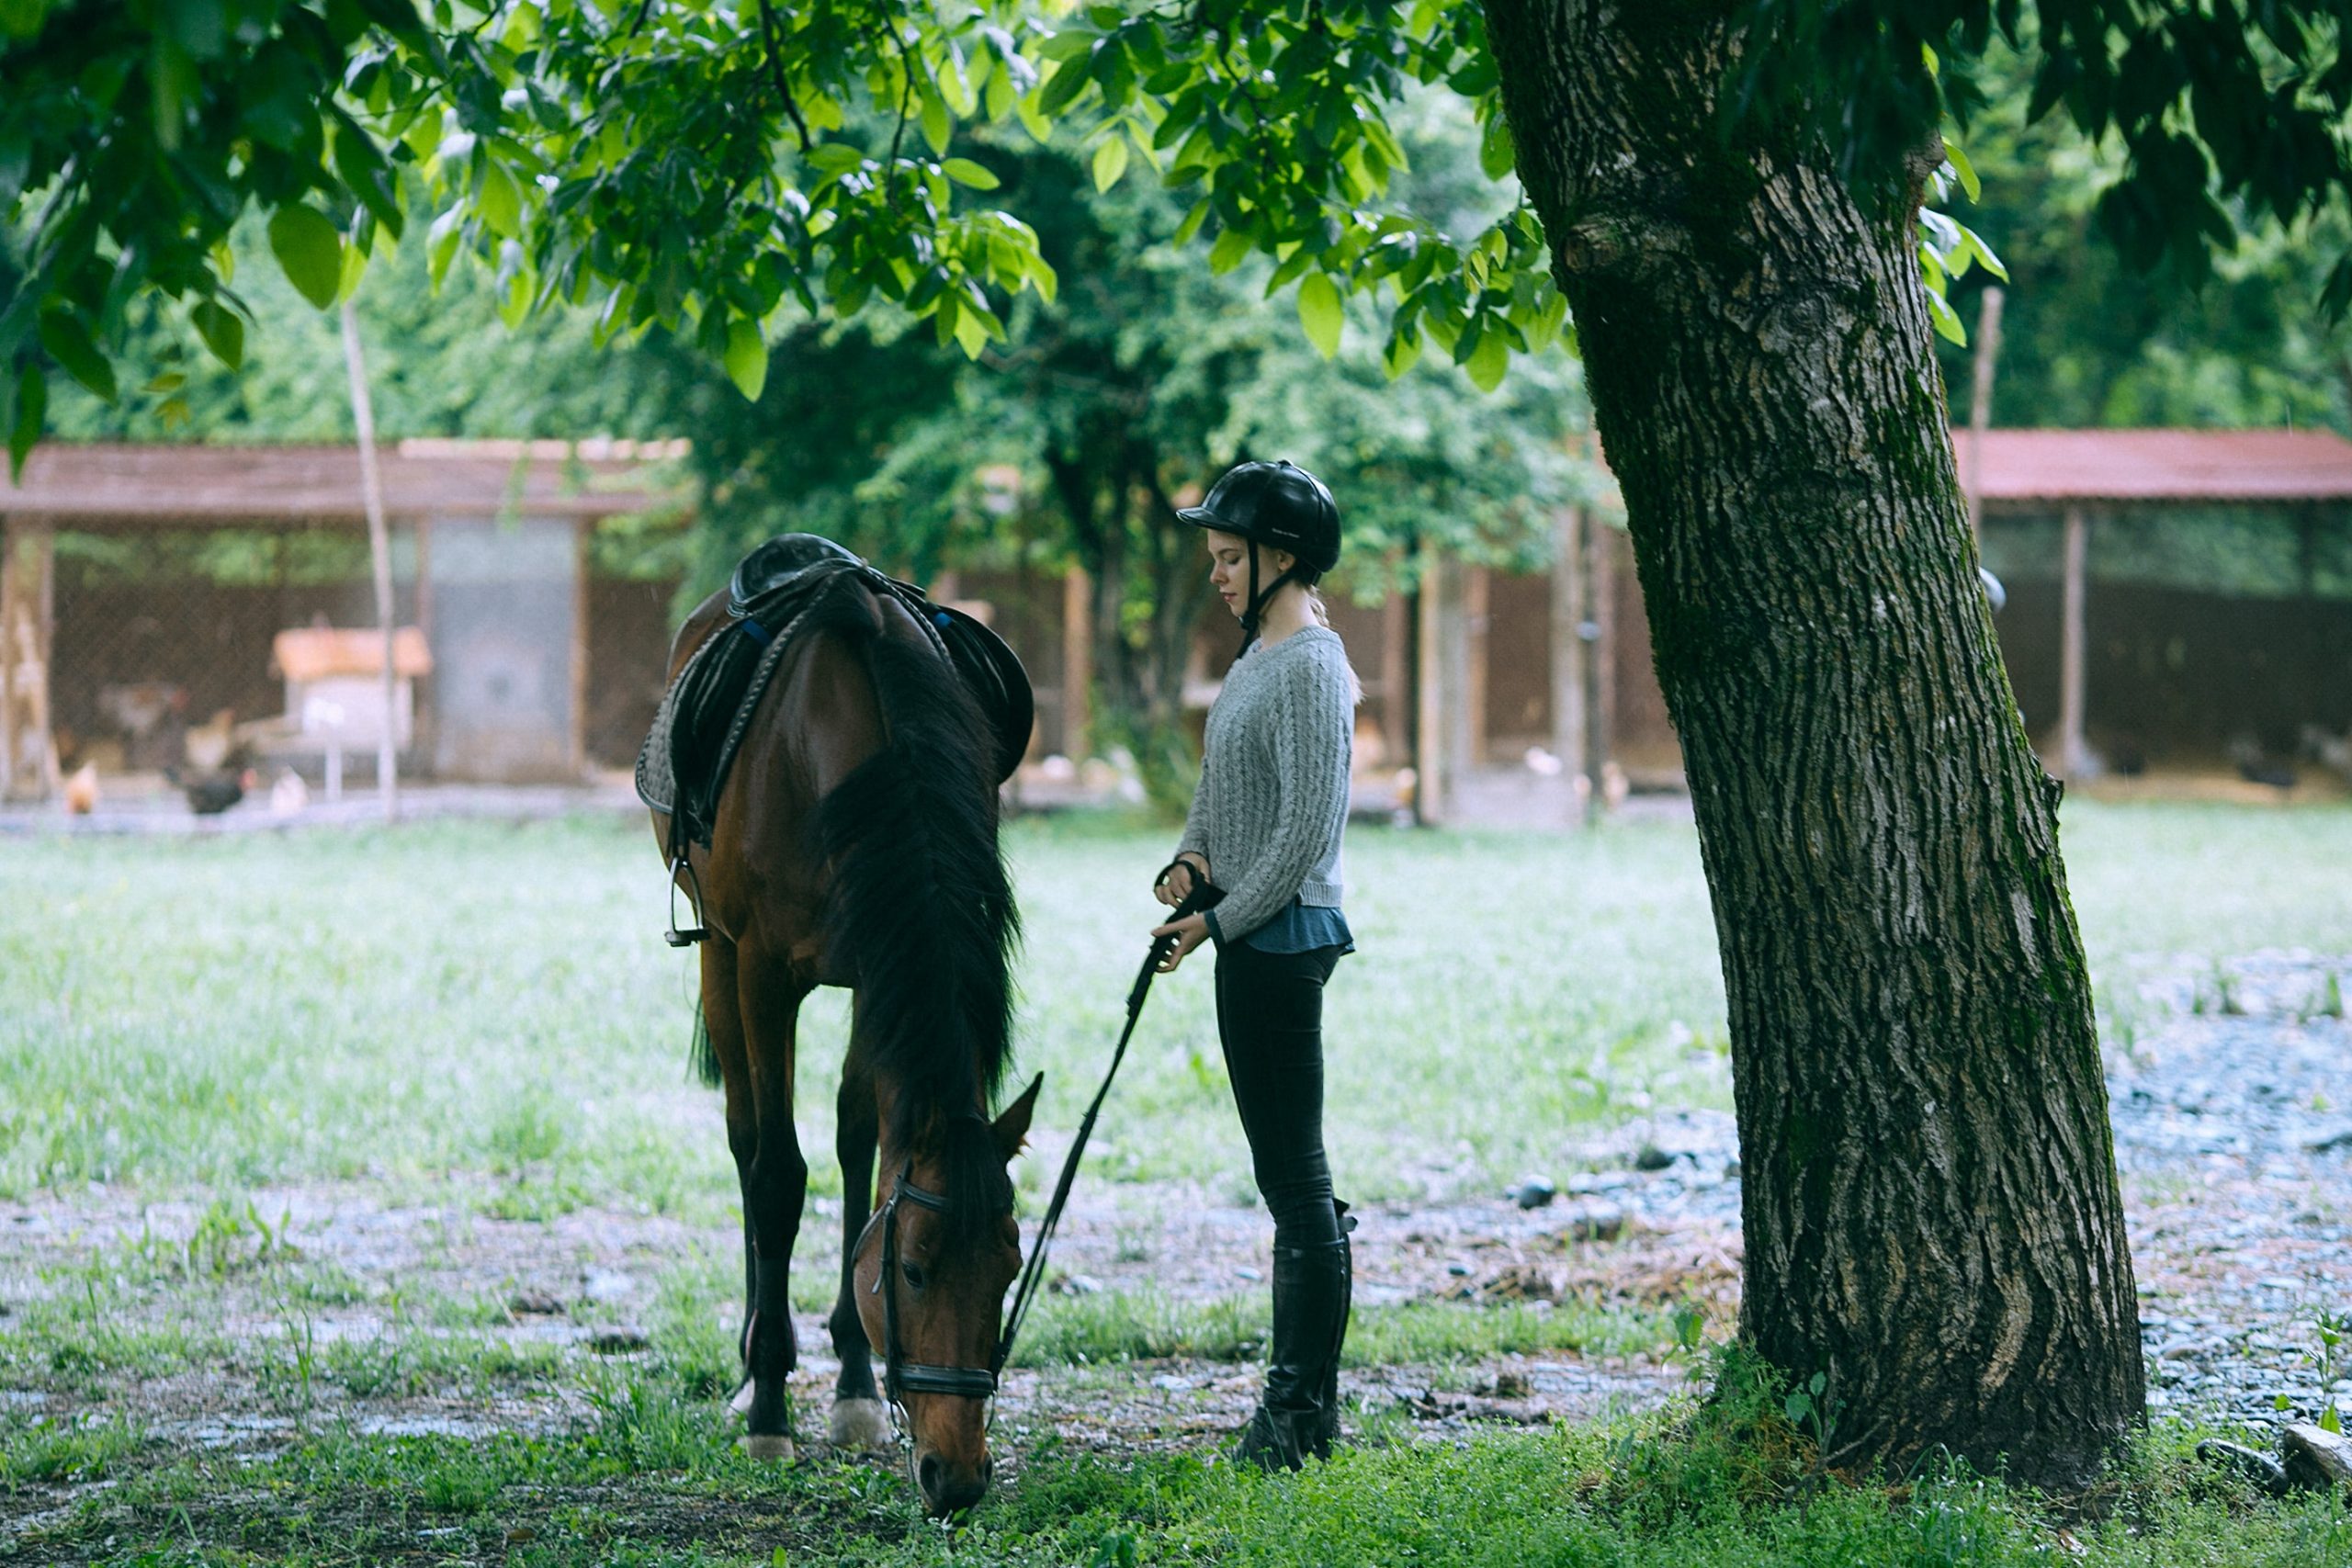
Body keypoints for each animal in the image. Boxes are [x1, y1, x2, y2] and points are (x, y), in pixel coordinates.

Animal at [649, 570, 1044, 1514]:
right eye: (914, 1269)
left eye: (1010, 1267)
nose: (958, 1474)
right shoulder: (761, 968)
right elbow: (777, 1175)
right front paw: (769, 1405)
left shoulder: (878, 964)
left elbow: (860, 1147)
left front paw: (856, 1389)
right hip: (717, 955)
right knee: (747, 1140)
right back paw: (753, 1361)